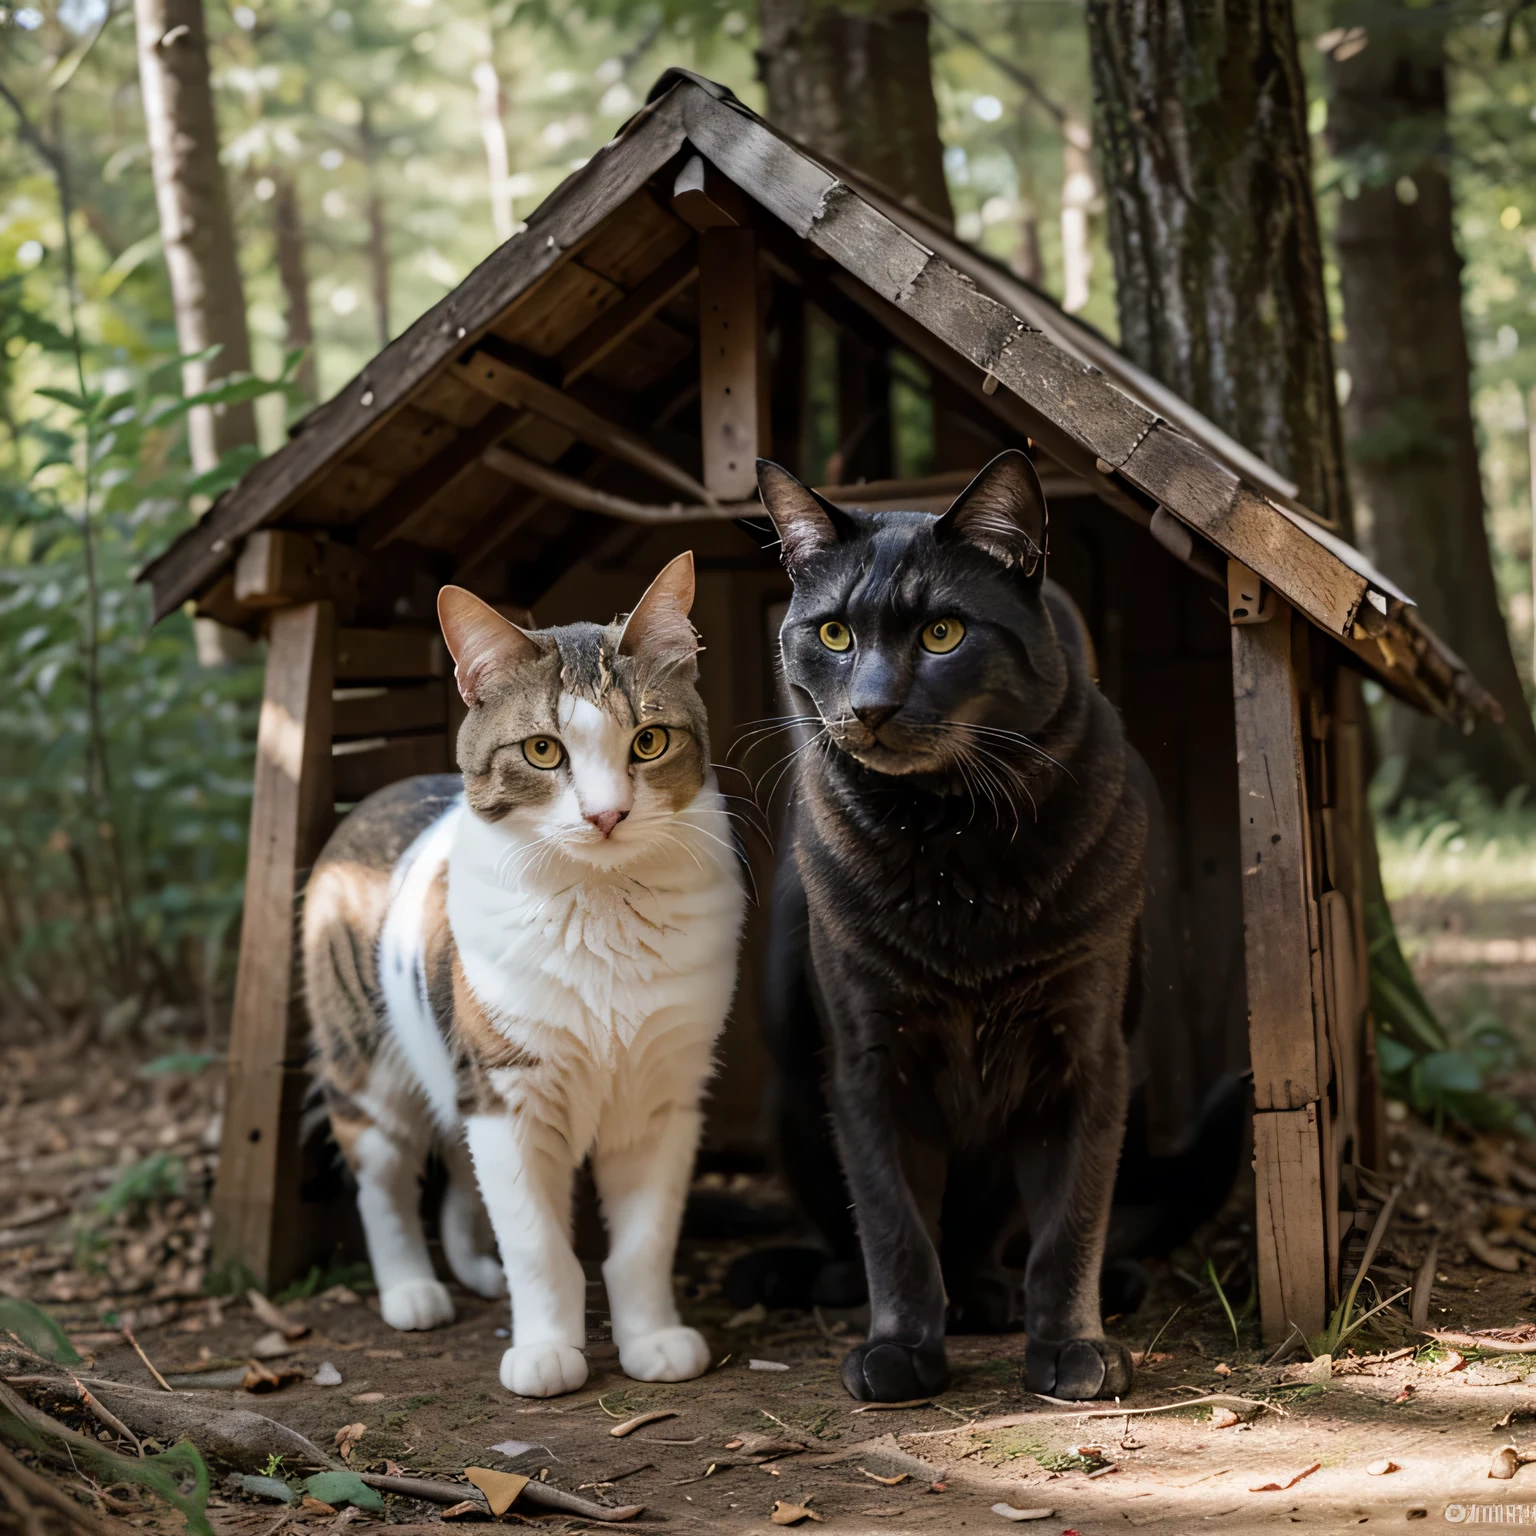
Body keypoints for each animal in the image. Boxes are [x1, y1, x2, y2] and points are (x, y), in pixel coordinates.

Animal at [302, 552, 746, 1394]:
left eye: (648, 741)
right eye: (543, 751)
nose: (607, 815)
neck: (603, 911)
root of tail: (380, 789)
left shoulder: (663, 1096)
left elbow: (643, 1244)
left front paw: (652, 1340)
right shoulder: (507, 1090)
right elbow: (540, 1246)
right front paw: (545, 1350)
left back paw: (475, 1269)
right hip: (369, 1060)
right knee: (384, 1180)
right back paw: (412, 1289)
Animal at [749, 451, 1155, 1406]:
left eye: (943, 634)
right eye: (833, 635)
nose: (870, 706)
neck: (947, 841)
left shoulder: (1086, 1059)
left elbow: (1070, 1225)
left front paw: (1073, 1350)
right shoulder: (866, 1063)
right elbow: (894, 1225)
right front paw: (898, 1351)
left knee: (988, 1241)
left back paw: (992, 1295)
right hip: (793, 1085)